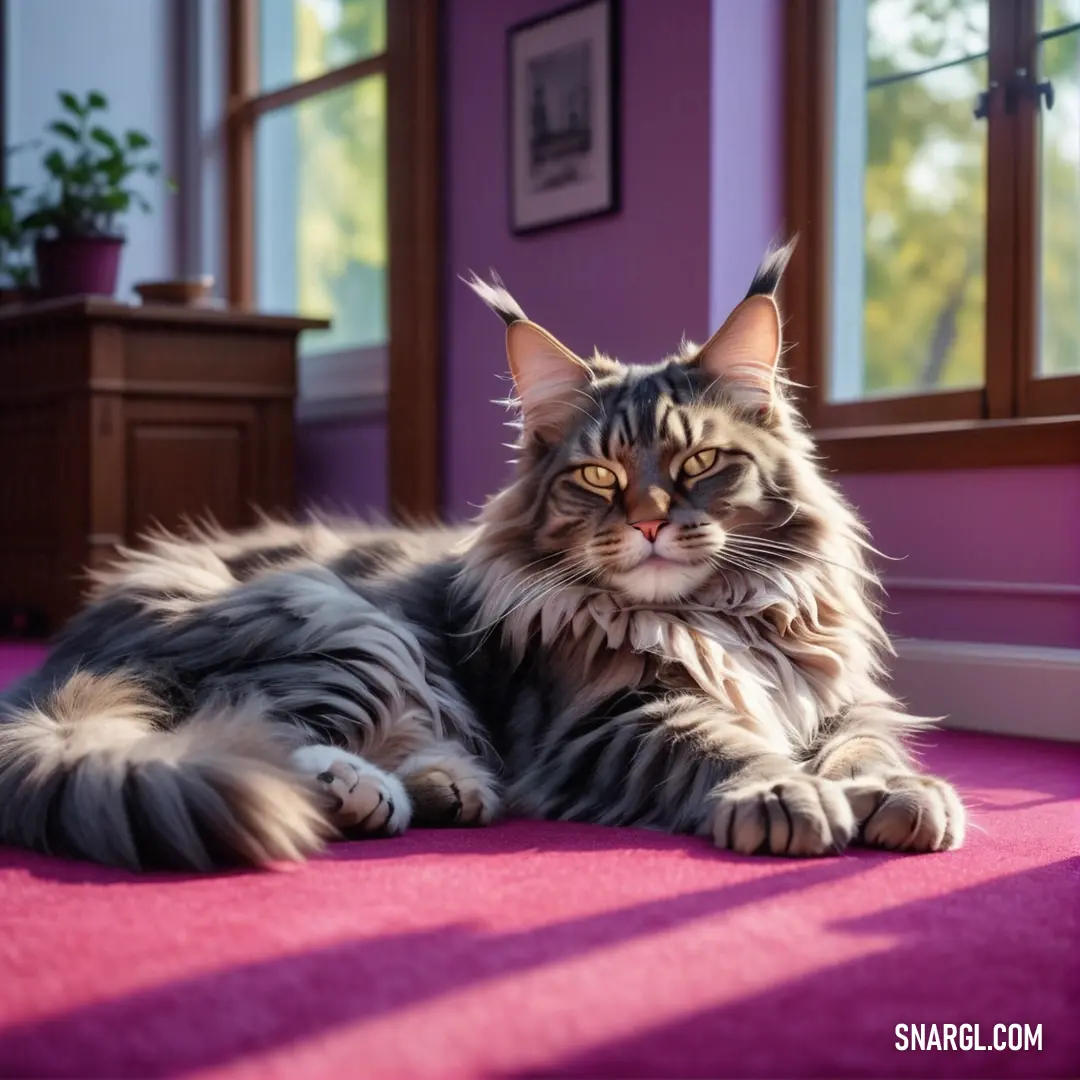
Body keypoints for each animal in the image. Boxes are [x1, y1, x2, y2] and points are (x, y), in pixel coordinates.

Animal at [0, 245, 963, 868]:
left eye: (697, 464)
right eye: (599, 474)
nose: (650, 523)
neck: (716, 616)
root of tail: (60, 661)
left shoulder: (839, 699)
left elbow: (865, 750)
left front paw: (905, 795)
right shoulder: (610, 720)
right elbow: (725, 743)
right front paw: (782, 797)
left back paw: (441, 788)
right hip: (348, 627)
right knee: (248, 732)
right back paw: (358, 791)